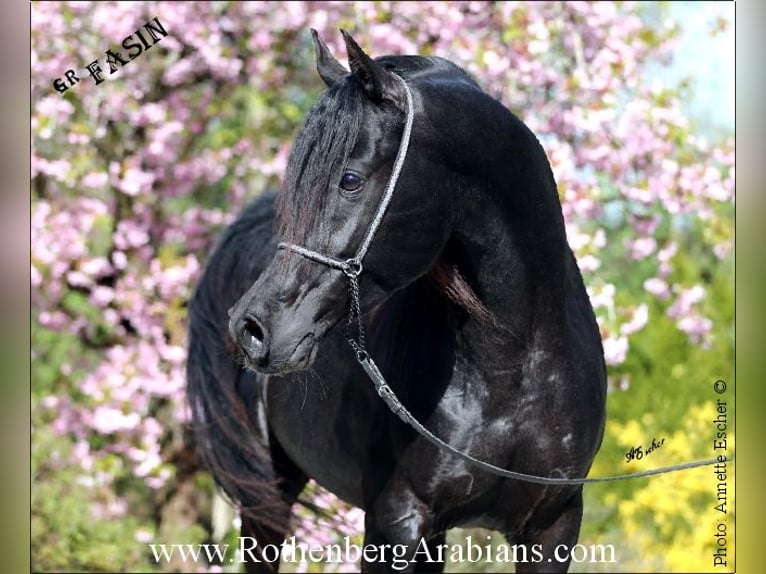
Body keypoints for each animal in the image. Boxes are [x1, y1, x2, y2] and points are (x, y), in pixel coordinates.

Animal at [188, 31, 608, 574]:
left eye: (349, 179)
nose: (252, 327)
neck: (514, 366)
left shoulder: (552, 527)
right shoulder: (396, 521)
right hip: (267, 497)